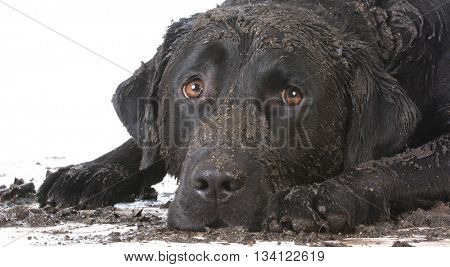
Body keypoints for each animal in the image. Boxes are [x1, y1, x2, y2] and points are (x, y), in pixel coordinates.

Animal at [38, 0, 450, 233]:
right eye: (193, 87)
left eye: (291, 96)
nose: (216, 183)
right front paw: (90, 170)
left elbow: (395, 164)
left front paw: (321, 195)